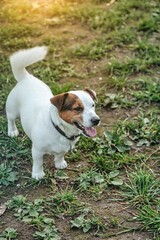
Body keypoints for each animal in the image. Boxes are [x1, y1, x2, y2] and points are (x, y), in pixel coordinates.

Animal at [6, 46, 100, 180]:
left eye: (93, 105)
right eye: (77, 108)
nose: (96, 120)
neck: (60, 129)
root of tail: (26, 78)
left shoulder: (63, 149)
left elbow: (60, 155)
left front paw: (59, 163)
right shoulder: (37, 150)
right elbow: (38, 162)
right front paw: (37, 174)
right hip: (12, 110)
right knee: (10, 119)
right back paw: (12, 131)